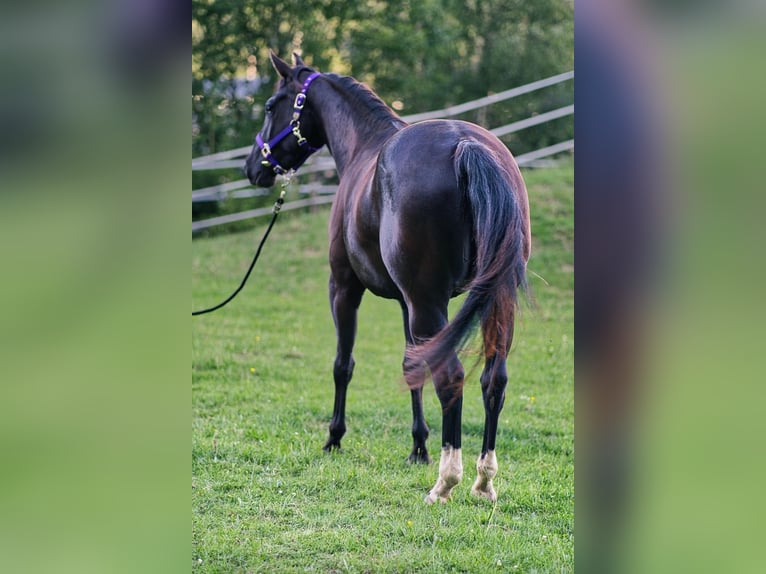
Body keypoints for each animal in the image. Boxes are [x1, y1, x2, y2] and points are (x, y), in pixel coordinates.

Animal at [245, 52, 530, 503]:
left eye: (273, 104)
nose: (252, 167)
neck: (364, 146)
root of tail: (466, 146)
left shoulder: (344, 288)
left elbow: (343, 363)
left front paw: (334, 438)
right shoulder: (405, 301)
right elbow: (411, 364)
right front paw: (418, 447)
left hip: (427, 302)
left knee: (451, 377)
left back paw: (446, 483)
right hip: (493, 299)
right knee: (493, 379)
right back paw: (483, 481)